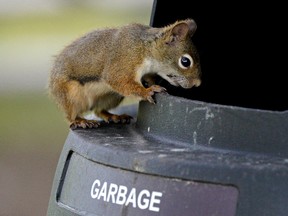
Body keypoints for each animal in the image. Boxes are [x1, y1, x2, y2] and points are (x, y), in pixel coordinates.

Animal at [47, 18, 200, 129]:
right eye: (185, 61)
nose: (197, 84)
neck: (145, 49)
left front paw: (151, 83)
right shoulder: (125, 60)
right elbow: (117, 79)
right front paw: (147, 91)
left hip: (112, 96)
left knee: (98, 110)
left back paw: (114, 116)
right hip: (71, 95)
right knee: (70, 116)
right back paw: (80, 120)